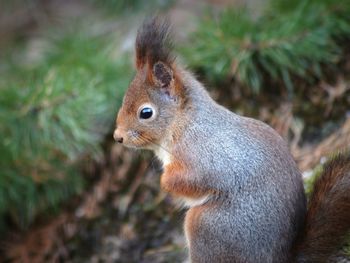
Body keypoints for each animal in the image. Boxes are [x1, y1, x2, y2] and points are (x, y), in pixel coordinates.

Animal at [113, 17, 350, 262]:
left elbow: (192, 179)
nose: (117, 137)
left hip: (205, 225)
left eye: (146, 113)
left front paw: (164, 182)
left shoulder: (203, 155)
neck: (183, 123)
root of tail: (280, 258)